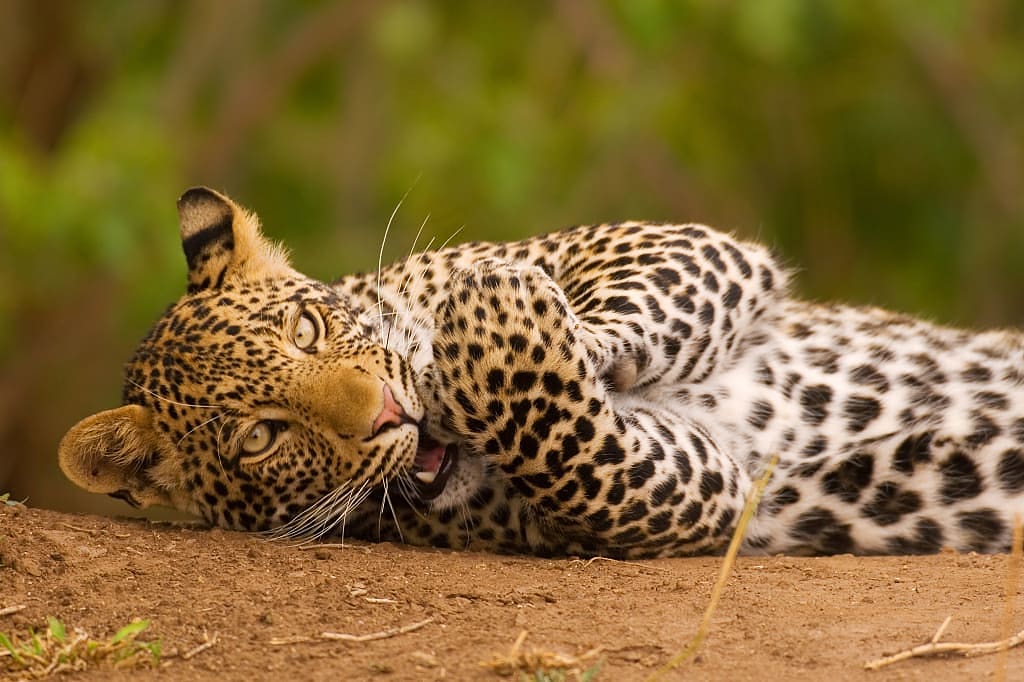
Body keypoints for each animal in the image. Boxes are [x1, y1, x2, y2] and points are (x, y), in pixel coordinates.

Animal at [58, 187, 1024, 558]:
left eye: (305, 329)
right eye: (263, 437)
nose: (390, 413)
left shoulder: (680, 246)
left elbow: (620, 308)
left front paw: (486, 309)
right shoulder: (705, 486)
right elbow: (580, 451)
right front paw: (498, 326)